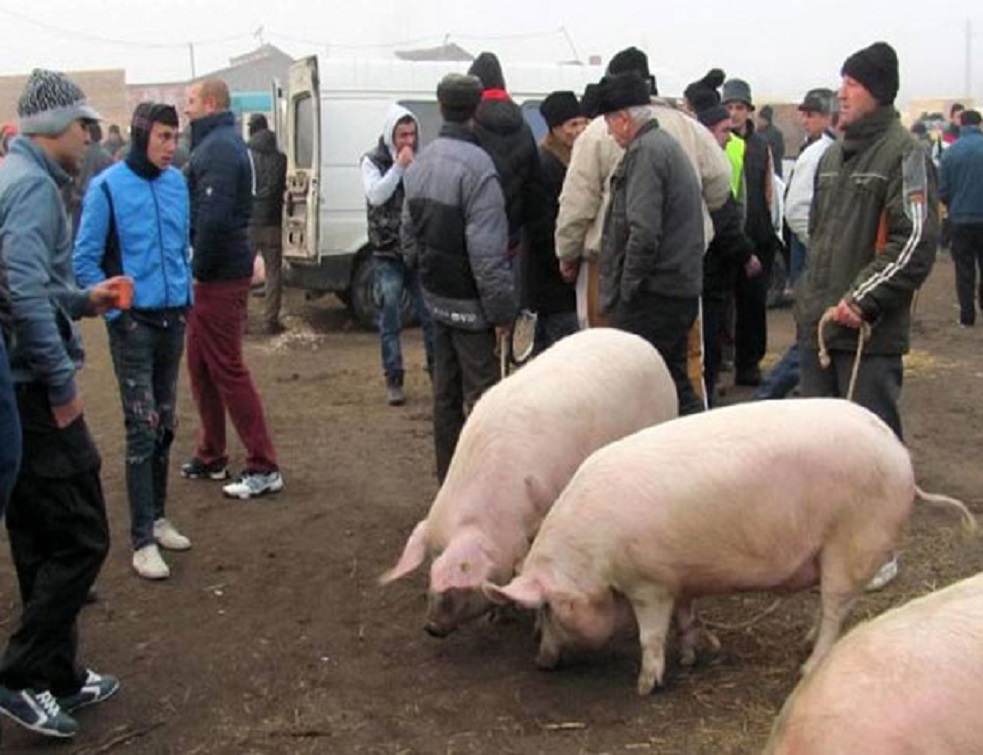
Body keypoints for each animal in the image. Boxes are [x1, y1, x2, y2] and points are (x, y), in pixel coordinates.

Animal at [484, 398, 977, 695]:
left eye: (547, 610)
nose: (541, 663)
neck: (594, 560)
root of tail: (899, 455)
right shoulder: (678, 578)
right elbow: (686, 618)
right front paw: (693, 656)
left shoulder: (650, 584)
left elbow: (650, 634)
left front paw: (646, 685)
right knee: (835, 608)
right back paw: (804, 643)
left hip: (852, 541)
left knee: (837, 608)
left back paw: (806, 668)